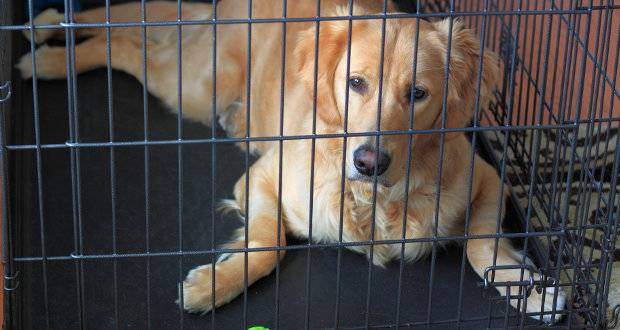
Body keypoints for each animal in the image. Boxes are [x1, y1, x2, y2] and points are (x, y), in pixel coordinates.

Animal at [18, 0, 560, 322]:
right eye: (356, 82)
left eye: (418, 93)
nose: (369, 161)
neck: (373, 200)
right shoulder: (261, 178)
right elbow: (267, 243)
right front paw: (214, 285)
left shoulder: (486, 179)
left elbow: (482, 245)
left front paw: (526, 286)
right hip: (192, 86)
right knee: (125, 40)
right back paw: (46, 55)